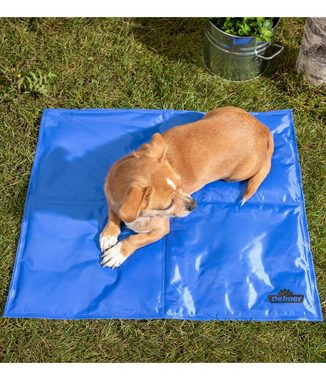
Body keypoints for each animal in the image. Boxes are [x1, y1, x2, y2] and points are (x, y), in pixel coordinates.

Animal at [99, 105, 272, 268]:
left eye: (180, 184)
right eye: (167, 205)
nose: (194, 205)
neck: (140, 214)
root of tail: (264, 129)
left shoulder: (160, 230)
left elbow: (137, 239)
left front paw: (118, 252)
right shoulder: (112, 198)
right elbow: (112, 213)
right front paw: (109, 234)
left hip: (237, 174)